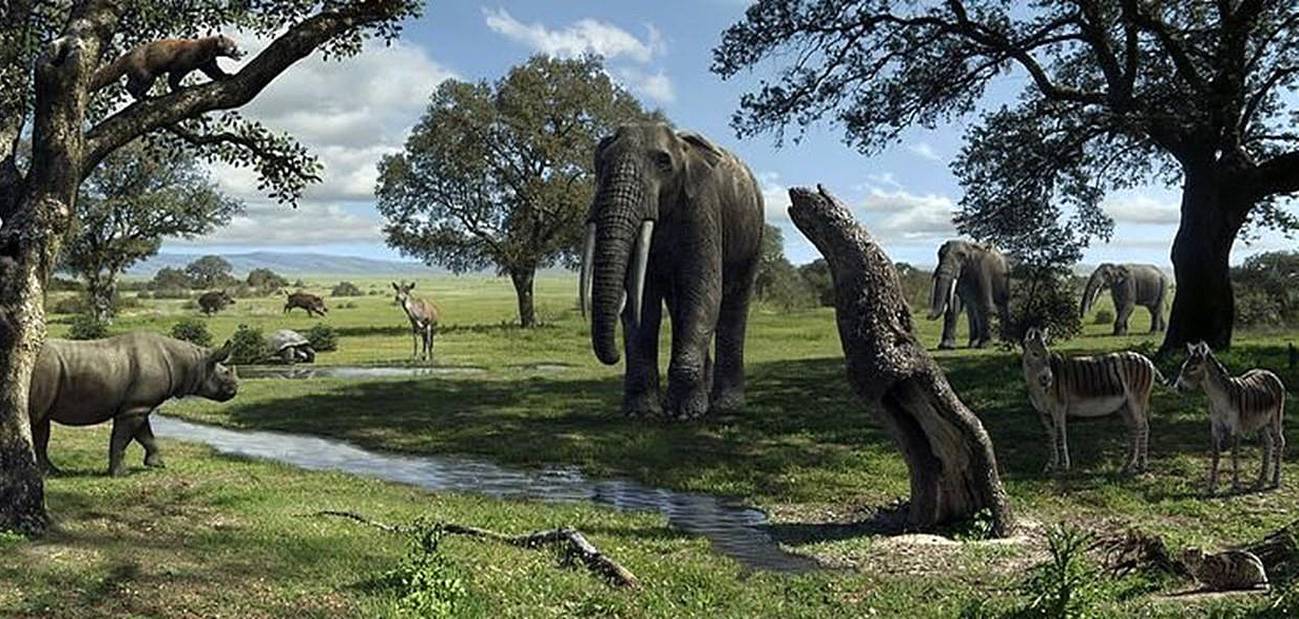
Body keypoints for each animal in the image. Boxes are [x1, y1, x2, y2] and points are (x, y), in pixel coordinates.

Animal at [579, 122, 758, 417]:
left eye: (664, 162)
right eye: (602, 163)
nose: (614, 356)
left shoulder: (702, 206)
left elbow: (704, 292)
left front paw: (685, 413)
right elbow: (643, 305)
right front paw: (641, 413)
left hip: (753, 233)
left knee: (733, 303)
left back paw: (726, 406)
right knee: (678, 306)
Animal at [1018, 328, 1163, 472]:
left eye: (1048, 355)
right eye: (1035, 354)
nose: (1047, 379)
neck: (1037, 389)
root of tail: (1148, 361)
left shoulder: (1058, 408)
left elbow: (1060, 436)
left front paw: (1064, 465)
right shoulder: (1042, 413)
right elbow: (1051, 437)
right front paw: (1051, 464)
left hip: (1136, 400)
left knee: (1143, 426)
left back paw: (1142, 464)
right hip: (1125, 406)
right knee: (1134, 428)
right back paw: (1128, 464)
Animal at [1174, 339, 1283, 490]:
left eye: (1193, 368)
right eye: (1183, 366)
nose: (1177, 387)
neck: (1218, 399)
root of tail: (1268, 372)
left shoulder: (1236, 428)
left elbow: (1234, 454)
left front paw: (1236, 484)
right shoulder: (1215, 427)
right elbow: (1216, 455)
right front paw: (1211, 485)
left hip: (1275, 419)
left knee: (1279, 442)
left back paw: (1275, 480)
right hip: (1260, 423)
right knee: (1268, 443)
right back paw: (1261, 480)